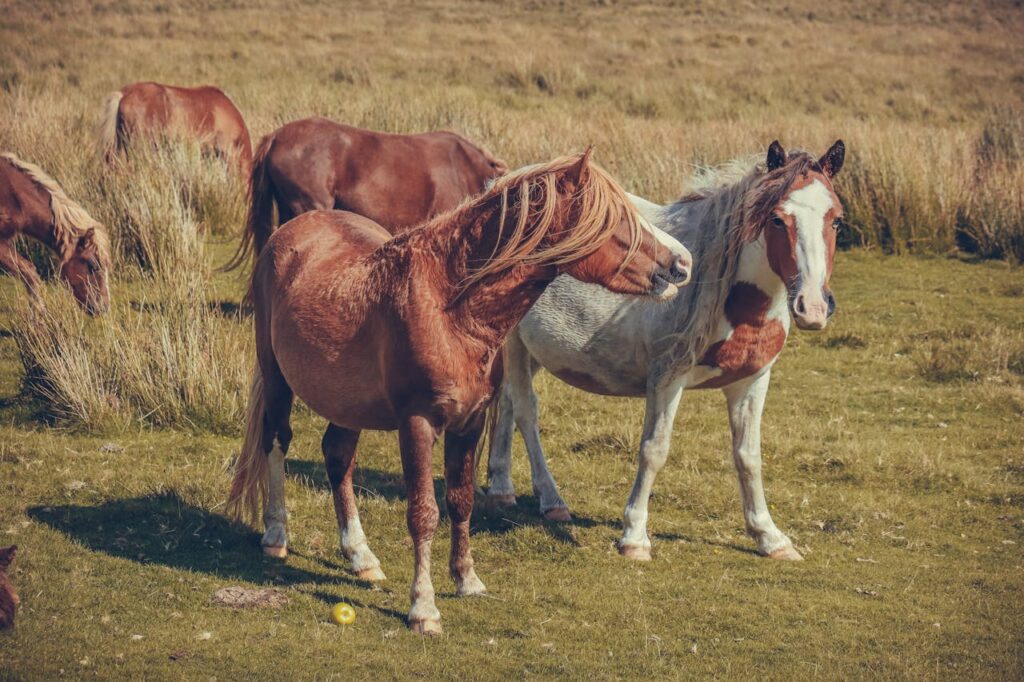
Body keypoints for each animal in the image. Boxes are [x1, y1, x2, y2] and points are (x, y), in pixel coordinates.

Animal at [226, 150, 693, 634]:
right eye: (617, 218)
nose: (681, 265)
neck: (450, 309)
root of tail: (294, 229)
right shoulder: (417, 424)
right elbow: (423, 513)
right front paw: (423, 607)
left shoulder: (470, 421)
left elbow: (461, 499)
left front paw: (467, 579)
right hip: (277, 379)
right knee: (276, 442)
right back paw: (276, 534)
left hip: (346, 403)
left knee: (337, 458)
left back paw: (361, 556)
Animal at [485, 140, 846, 563]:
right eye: (777, 219)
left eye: (836, 220)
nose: (812, 307)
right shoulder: (666, 379)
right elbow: (654, 450)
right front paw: (634, 537)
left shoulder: (752, 381)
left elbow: (748, 456)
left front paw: (770, 537)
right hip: (513, 345)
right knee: (526, 411)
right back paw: (551, 500)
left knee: (507, 404)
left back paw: (502, 489)